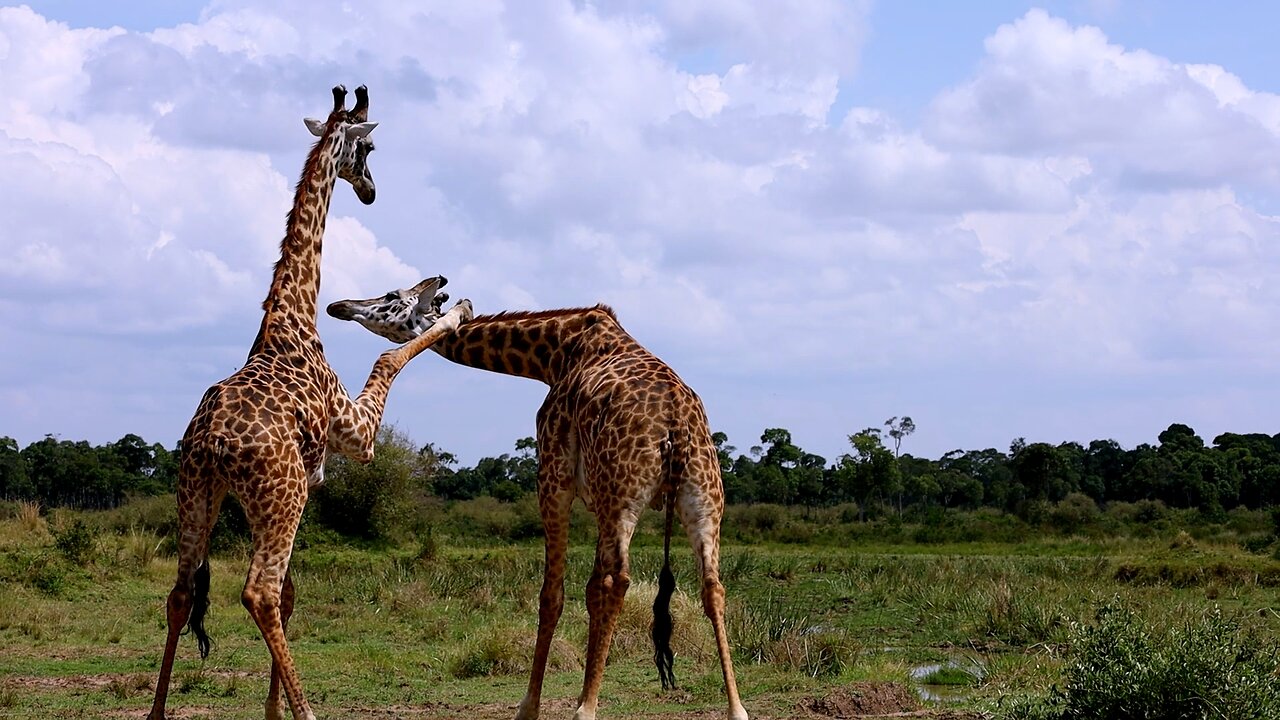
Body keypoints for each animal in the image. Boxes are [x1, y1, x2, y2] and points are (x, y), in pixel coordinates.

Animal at [146, 85, 476, 717]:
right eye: (367, 148)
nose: (370, 191)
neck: (290, 317)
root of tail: (216, 443)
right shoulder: (357, 436)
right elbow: (388, 357)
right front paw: (458, 309)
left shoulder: (313, 480)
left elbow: (296, 593)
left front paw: (271, 711)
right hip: (280, 495)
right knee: (259, 592)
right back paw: (309, 709)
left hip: (197, 490)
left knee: (182, 591)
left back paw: (156, 712)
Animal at [327, 281, 747, 717]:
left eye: (391, 296)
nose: (339, 306)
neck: (553, 352)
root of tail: (675, 427)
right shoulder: (596, 497)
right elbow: (590, 591)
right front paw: (578, 691)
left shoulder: (553, 474)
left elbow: (553, 595)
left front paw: (532, 705)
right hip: (701, 498)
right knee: (712, 586)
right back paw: (736, 707)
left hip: (623, 495)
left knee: (618, 581)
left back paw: (587, 710)